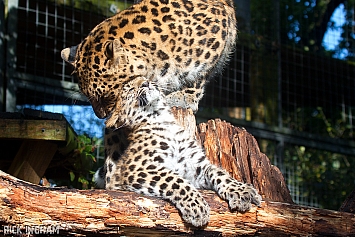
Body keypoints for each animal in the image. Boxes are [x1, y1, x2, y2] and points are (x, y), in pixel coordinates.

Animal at [93, 77, 262, 227]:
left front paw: (243, 191)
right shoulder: (138, 168)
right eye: (129, 90)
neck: (163, 119)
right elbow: (174, 180)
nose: (146, 83)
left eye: (144, 79)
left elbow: (219, 173)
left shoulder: (196, 166)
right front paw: (197, 207)